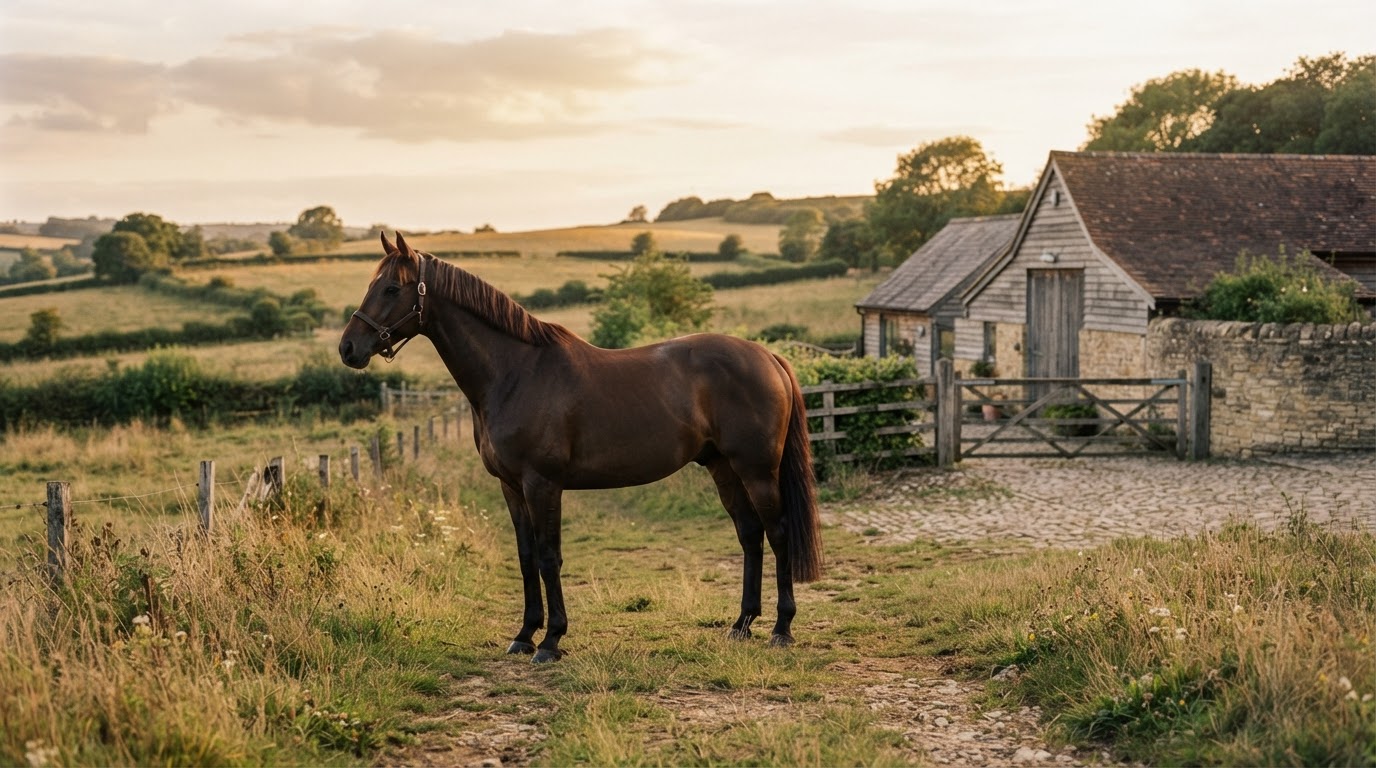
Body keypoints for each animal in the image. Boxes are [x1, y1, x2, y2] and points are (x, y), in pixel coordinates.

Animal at [339, 232, 822, 663]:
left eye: (391, 288)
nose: (348, 348)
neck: (515, 372)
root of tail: (768, 356)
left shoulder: (542, 484)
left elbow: (549, 557)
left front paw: (551, 640)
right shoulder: (511, 487)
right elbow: (526, 557)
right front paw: (524, 636)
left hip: (757, 470)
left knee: (778, 533)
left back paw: (781, 629)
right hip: (723, 467)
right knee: (750, 535)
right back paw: (741, 625)